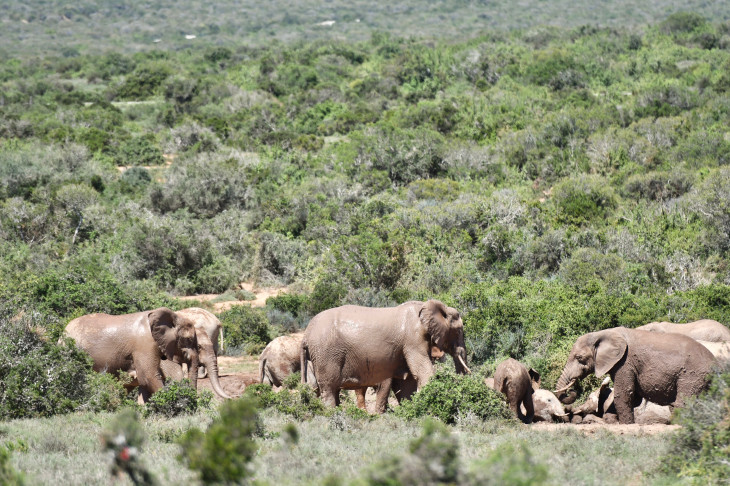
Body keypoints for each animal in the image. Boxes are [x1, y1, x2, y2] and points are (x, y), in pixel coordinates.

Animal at [298, 298, 470, 408]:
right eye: (459, 331)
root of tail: (306, 335)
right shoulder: (413, 340)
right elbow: (423, 373)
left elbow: (406, 385)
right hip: (326, 354)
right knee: (329, 388)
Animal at [552, 326, 712, 426]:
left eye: (579, 358)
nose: (572, 390)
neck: (602, 333)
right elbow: (633, 397)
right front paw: (612, 420)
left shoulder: (625, 362)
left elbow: (624, 394)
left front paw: (626, 424)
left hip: (692, 375)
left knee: (683, 401)